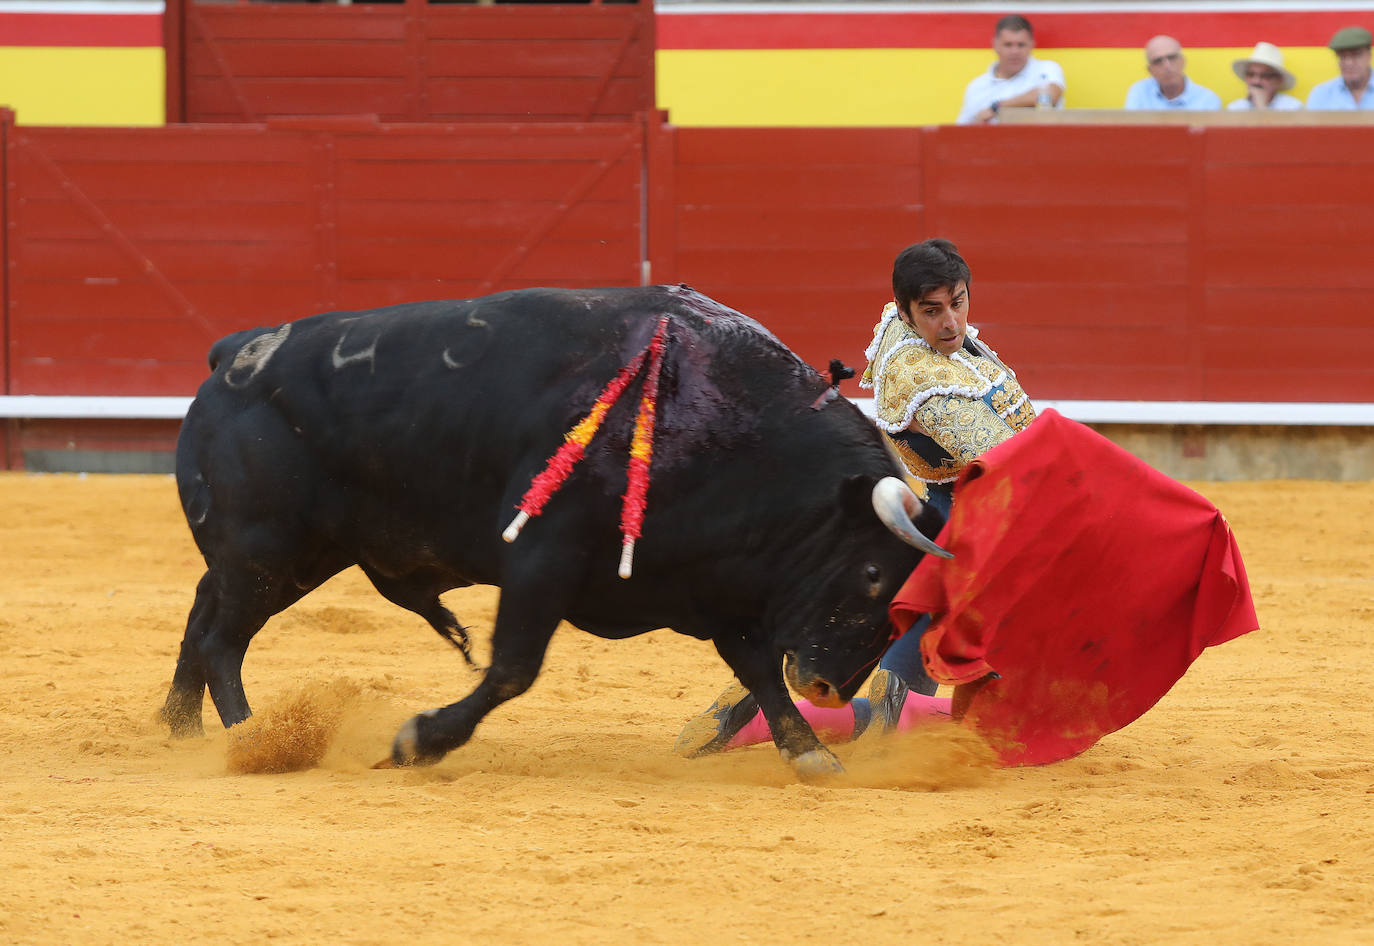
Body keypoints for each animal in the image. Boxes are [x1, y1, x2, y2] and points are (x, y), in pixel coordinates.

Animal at [158, 284, 945, 779]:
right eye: (872, 575)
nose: (830, 687)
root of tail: (235, 351)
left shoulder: (710, 583)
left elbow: (754, 670)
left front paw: (811, 753)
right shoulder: (543, 559)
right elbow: (513, 668)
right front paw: (418, 741)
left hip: (295, 556)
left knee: (203, 615)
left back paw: (179, 727)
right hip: (264, 548)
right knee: (223, 638)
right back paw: (254, 739)